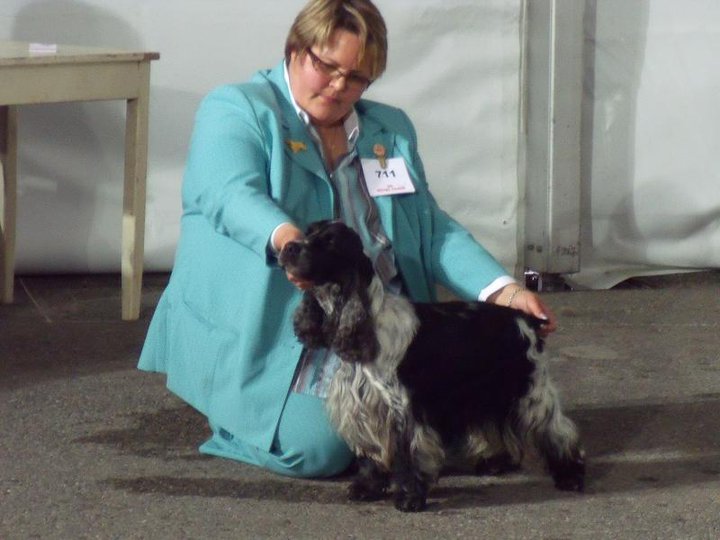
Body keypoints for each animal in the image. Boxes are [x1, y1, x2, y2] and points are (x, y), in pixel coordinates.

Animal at [279, 220, 585, 512]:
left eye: (330, 241)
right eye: (308, 232)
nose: (289, 247)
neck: (370, 323)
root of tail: (525, 318)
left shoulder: (403, 411)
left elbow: (409, 457)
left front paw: (409, 498)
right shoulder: (365, 408)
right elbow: (371, 455)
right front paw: (366, 488)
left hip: (530, 390)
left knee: (558, 431)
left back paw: (569, 476)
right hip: (491, 392)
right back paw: (496, 462)